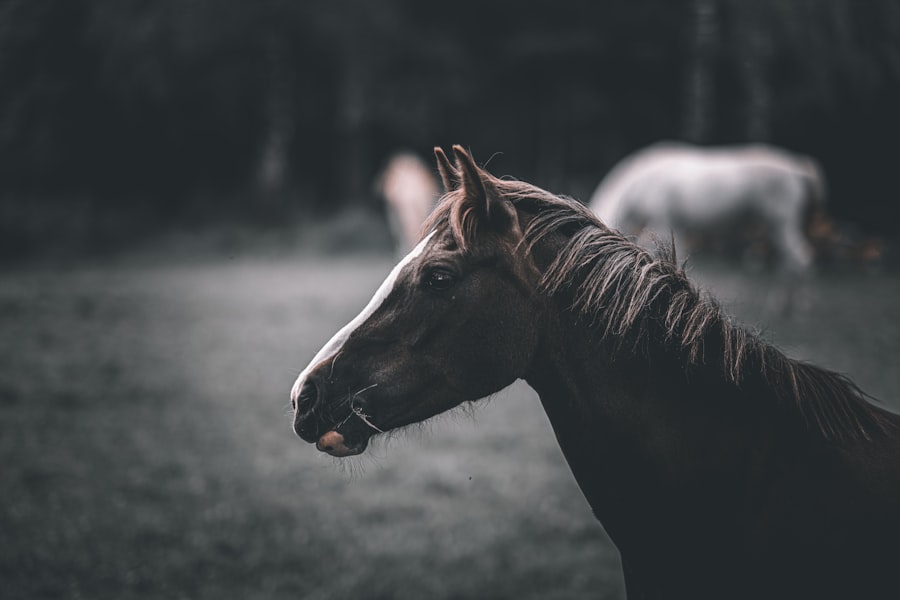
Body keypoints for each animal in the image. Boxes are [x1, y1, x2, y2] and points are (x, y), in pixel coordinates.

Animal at [588, 142, 827, 274]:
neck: (638, 185)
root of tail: (798, 168)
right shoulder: (676, 227)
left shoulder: (663, 221)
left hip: (780, 222)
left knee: (799, 259)